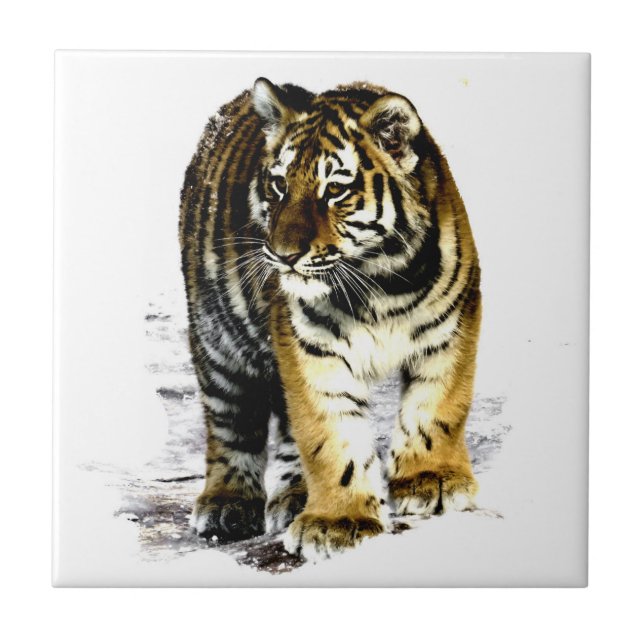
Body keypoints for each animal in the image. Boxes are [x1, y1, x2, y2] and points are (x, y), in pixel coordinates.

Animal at [179, 77, 481, 561]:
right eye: (279, 185)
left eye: (335, 190)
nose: (283, 255)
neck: (382, 280)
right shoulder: (310, 347)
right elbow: (329, 435)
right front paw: (339, 522)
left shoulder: (451, 326)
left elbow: (438, 407)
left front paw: (432, 480)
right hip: (218, 340)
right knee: (231, 423)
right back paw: (227, 505)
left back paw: (295, 496)